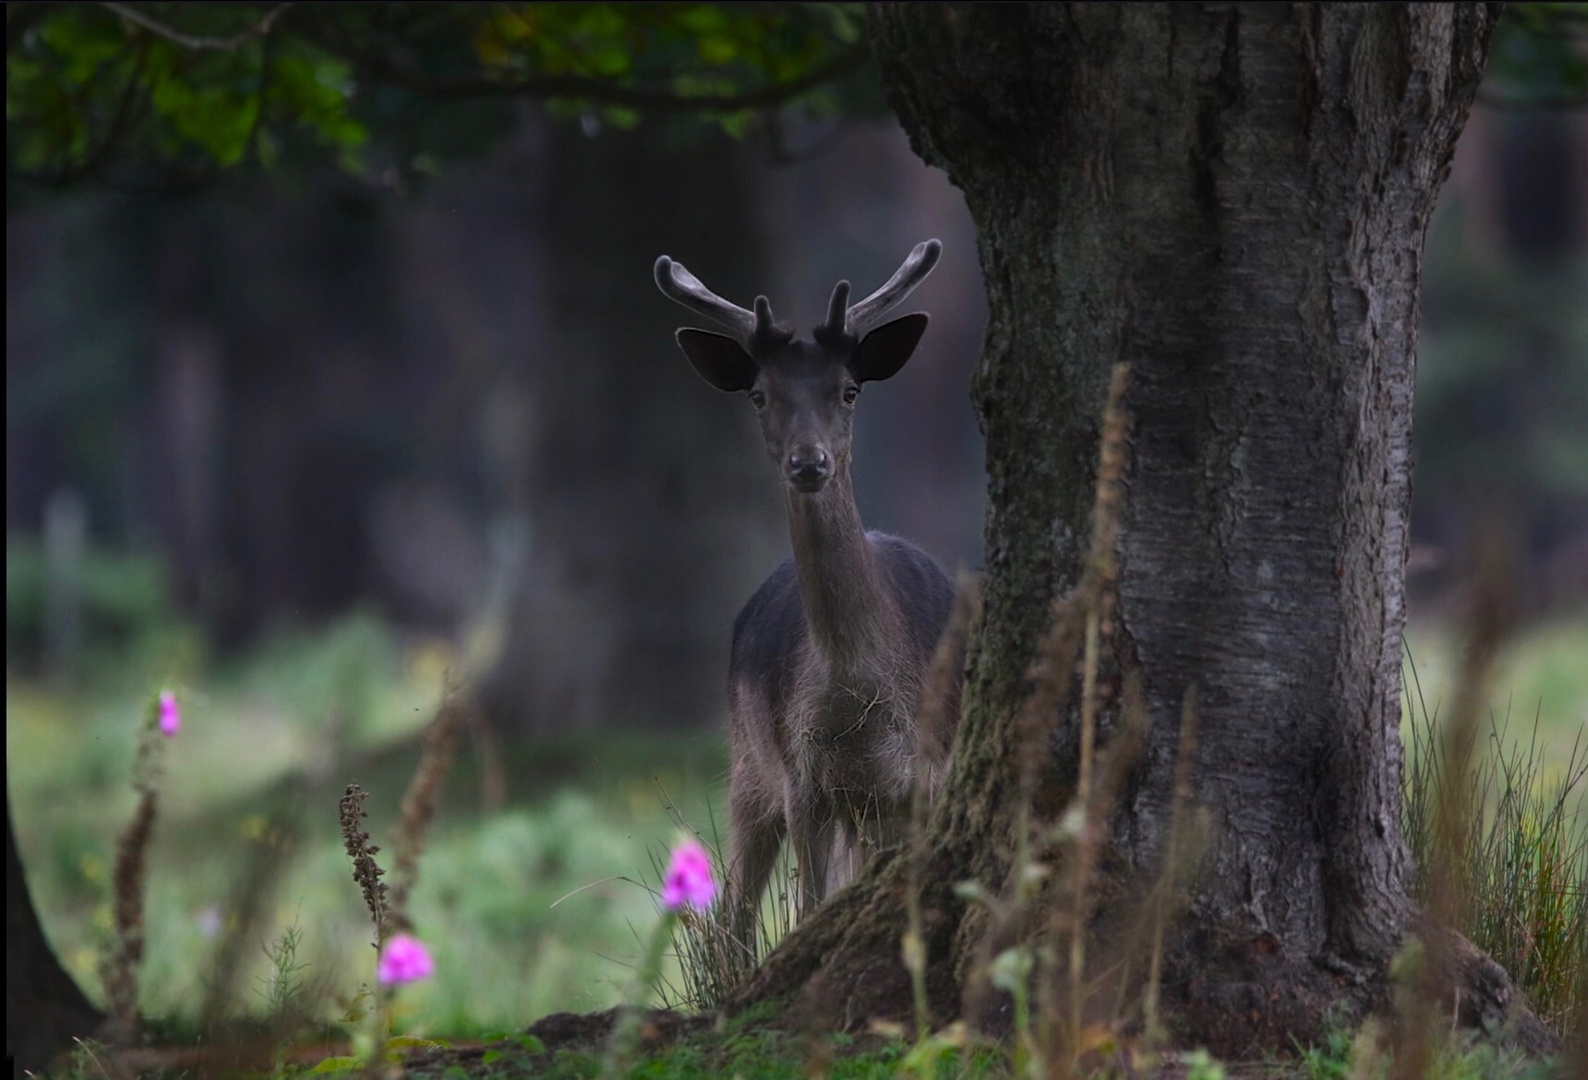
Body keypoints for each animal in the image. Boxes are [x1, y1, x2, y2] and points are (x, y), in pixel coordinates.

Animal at [654, 243, 959, 946]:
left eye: (848, 390)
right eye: (759, 395)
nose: (809, 462)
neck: (858, 700)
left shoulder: (924, 775)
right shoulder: (803, 781)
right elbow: (808, 910)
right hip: (746, 764)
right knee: (735, 914)